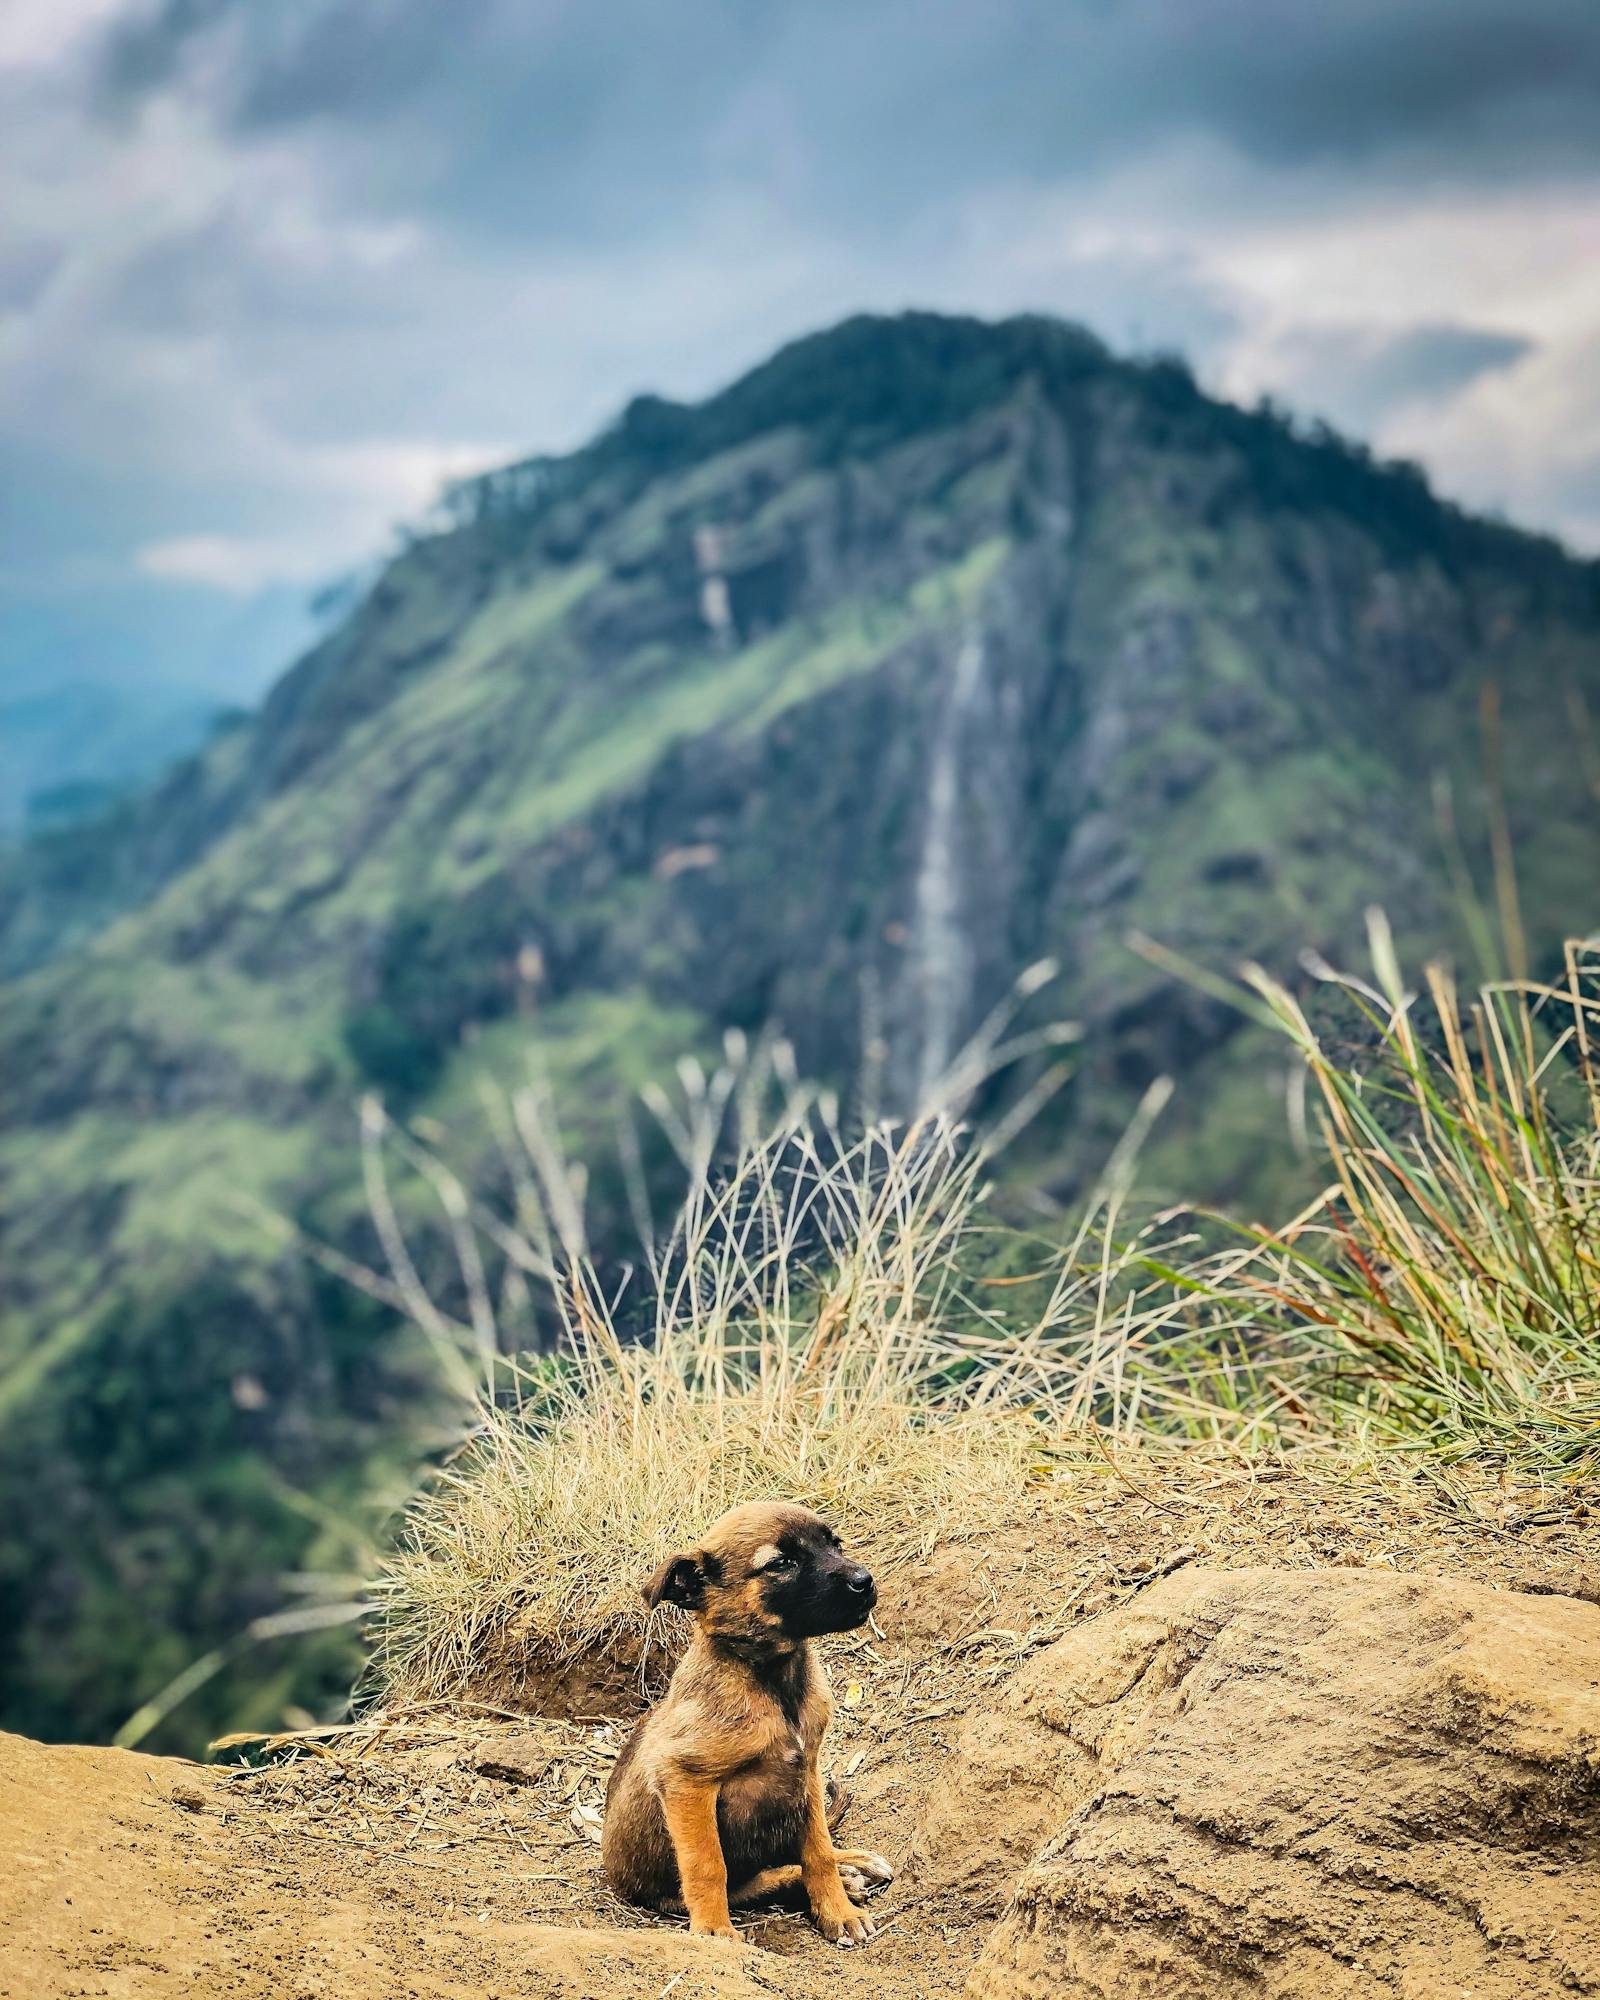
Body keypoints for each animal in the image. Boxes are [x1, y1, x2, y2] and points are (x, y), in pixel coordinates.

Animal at [604, 1504, 892, 1944]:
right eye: (781, 1563)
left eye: (834, 1544)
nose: (865, 1581)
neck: (771, 1679)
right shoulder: (684, 1780)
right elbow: (708, 1865)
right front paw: (713, 1931)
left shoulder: (807, 1770)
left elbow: (818, 1850)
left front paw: (838, 1911)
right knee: (745, 1882)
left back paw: (852, 1865)